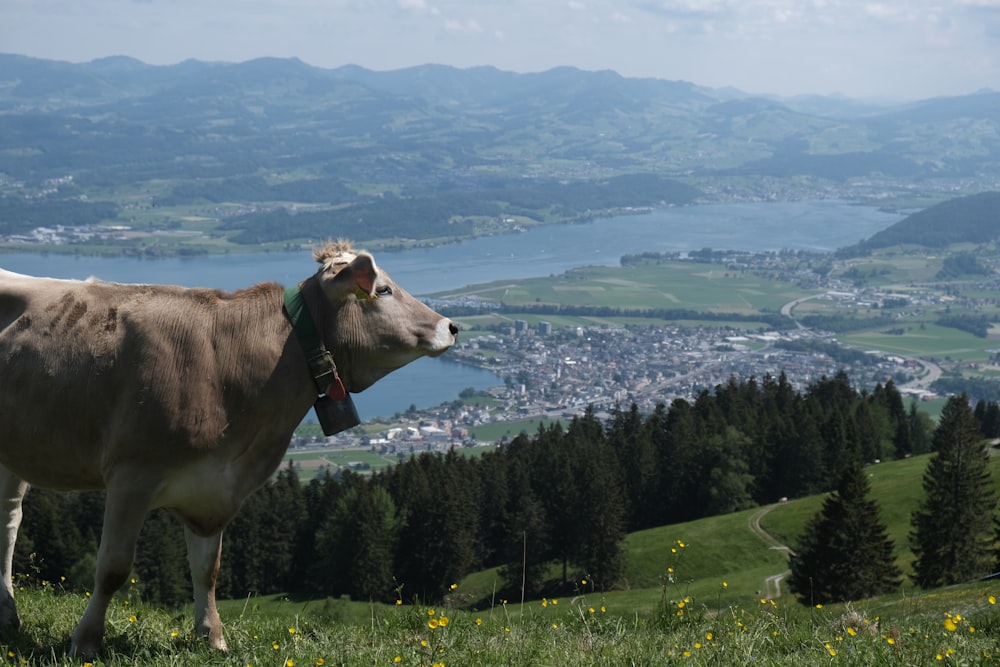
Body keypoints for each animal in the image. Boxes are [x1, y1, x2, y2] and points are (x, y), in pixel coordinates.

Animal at [0, 240, 458, 656]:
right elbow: (113, 568)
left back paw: (8, 615)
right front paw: (86, 641)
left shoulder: (214, 485)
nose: (451, 326)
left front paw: (212, 636)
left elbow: (208, 569)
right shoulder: (131, 474)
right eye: (384, 290)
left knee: (7, 523)